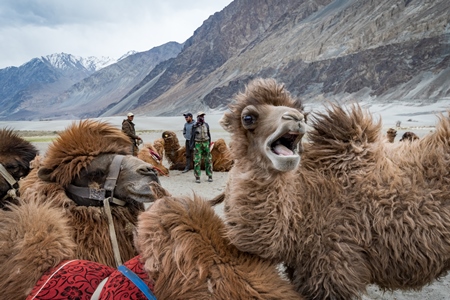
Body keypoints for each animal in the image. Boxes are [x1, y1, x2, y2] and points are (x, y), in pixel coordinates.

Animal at [216, 79, 448, 300]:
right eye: (248, 118)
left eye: (304, 114)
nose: (296, 118)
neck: (303, 210)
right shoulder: (303, 269)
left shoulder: (333, 265)